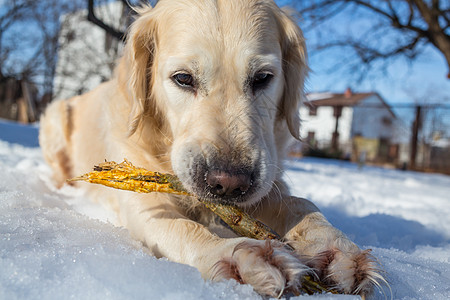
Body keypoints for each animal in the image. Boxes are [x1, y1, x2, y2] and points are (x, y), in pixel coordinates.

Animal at [39, 0, 384, 298]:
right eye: (183, 78)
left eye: (263, 78)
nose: (228, 184)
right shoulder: (142, 195)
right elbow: (181, 227)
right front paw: (239, 254)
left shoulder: (265, 183)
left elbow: (301, 204)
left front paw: (334, 249)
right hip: (54, 116)